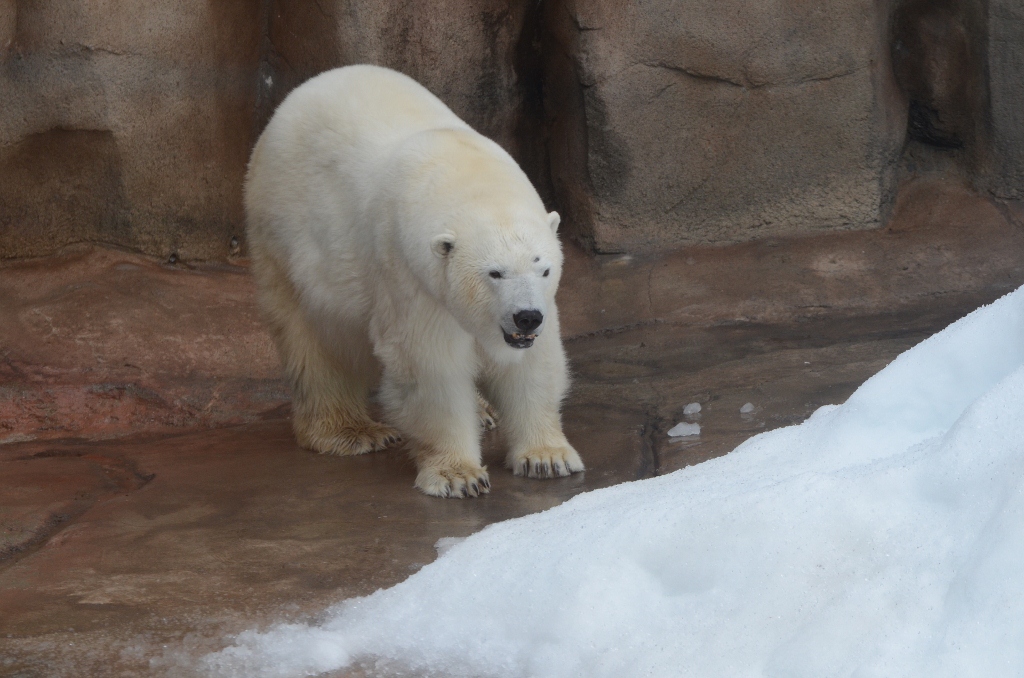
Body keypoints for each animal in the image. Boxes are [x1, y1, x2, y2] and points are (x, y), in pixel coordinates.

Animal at [245, 65, 585, 499]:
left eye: (544, 270)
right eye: (494, 273)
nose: (526, 317)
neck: (465, 169)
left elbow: (534, 363)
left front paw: (547, 457)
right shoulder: (410, 277)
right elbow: (430, 368)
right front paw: (459, 475)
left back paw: (483, 411)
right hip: (285, 238)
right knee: (313, 341)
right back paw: (353, 431)